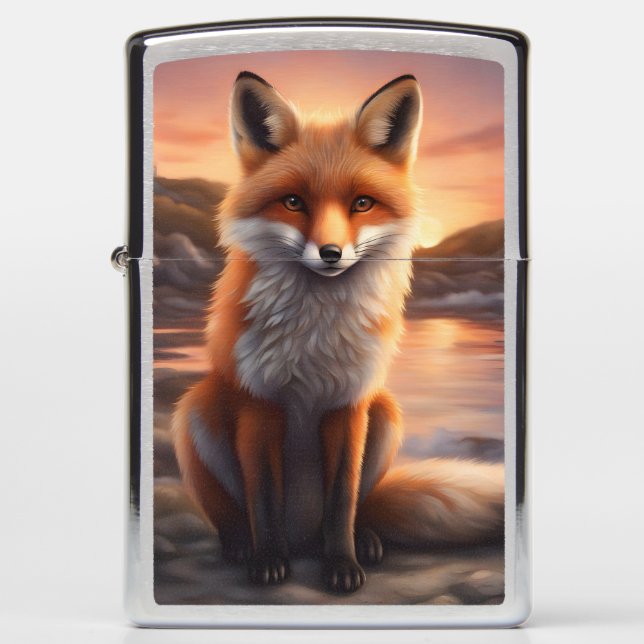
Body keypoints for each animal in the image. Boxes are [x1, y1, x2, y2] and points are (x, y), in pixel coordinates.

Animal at [172, 71, 504, 593]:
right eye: (293, 202)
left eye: (362, 203)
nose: (331, 253)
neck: (315, 339)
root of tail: (302, 537)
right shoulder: (258, 404)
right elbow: (263, 498)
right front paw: (268, 560)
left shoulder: (351, 404)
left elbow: (342, 501)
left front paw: (343, 564)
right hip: (195, 409)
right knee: (231, 514)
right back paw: (242, 545)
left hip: (386, 412)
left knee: (360, 509)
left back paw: (364, 539)